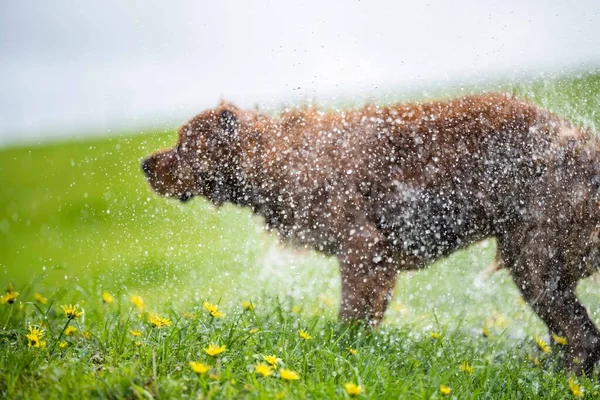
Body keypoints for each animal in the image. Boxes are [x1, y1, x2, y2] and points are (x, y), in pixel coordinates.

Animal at [143, 94, 600, 376]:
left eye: (182, 144)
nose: (145, 164)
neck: (280, 159)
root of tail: (584, 141)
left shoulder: (362, 246)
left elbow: (352, 314)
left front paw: (342, 349)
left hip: (533, 253)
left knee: (581, 335)